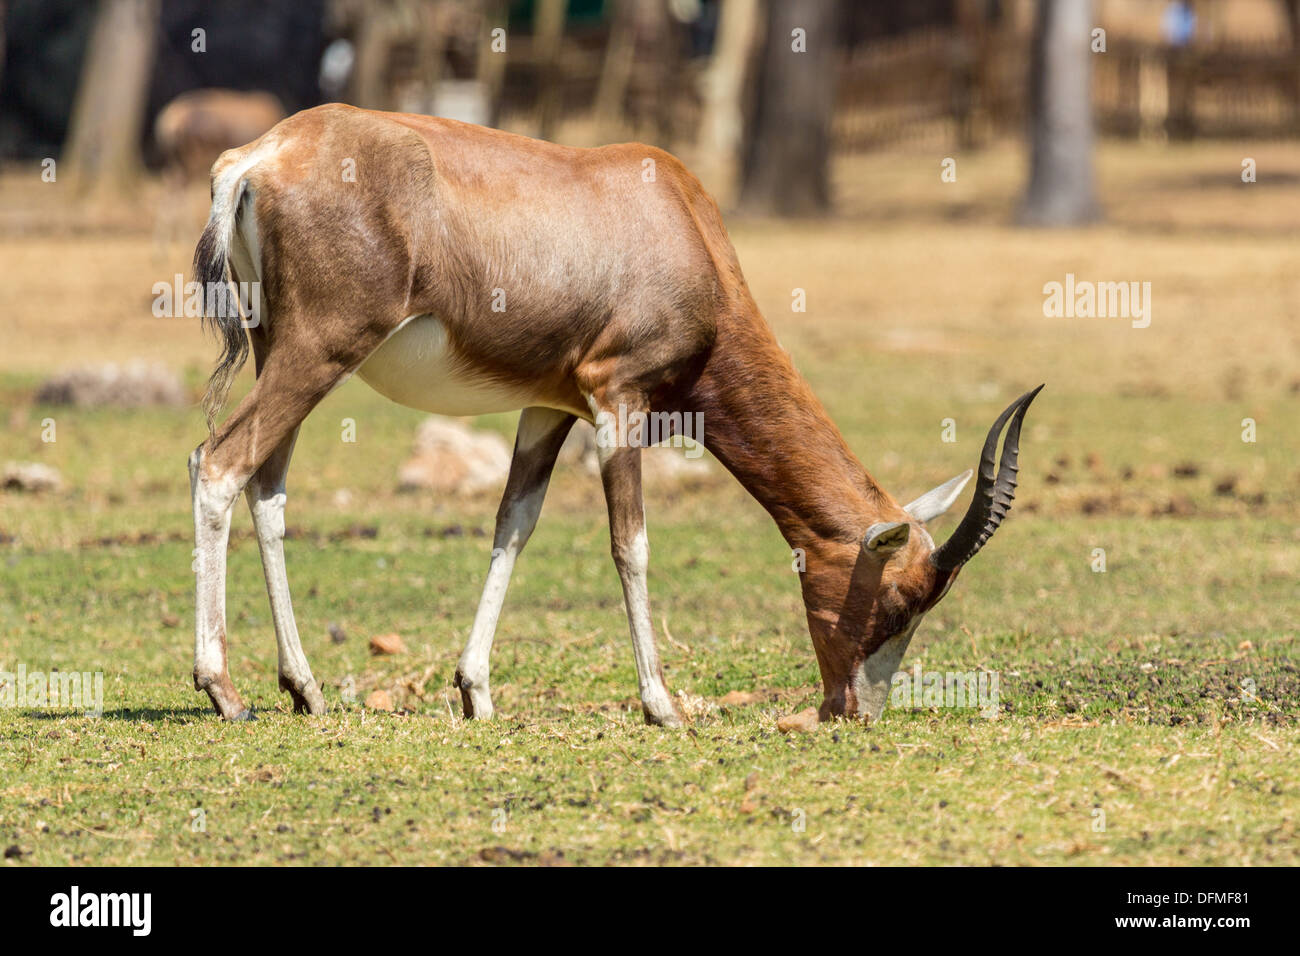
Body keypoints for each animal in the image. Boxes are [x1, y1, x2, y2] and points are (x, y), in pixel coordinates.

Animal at [192, 102, 1040, 723]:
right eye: (900, 602)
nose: (852, 712)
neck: (673, 215)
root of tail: (257, 158)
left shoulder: (549, 407)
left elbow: (513, 526)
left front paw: (476, 693)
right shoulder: (617, 400)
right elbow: (631, 545)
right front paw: (662, 705)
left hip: (281, 351)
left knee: (266, 487)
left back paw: (303, 688)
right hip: (321, 350)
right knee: (219, 463)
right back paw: (224, 691)